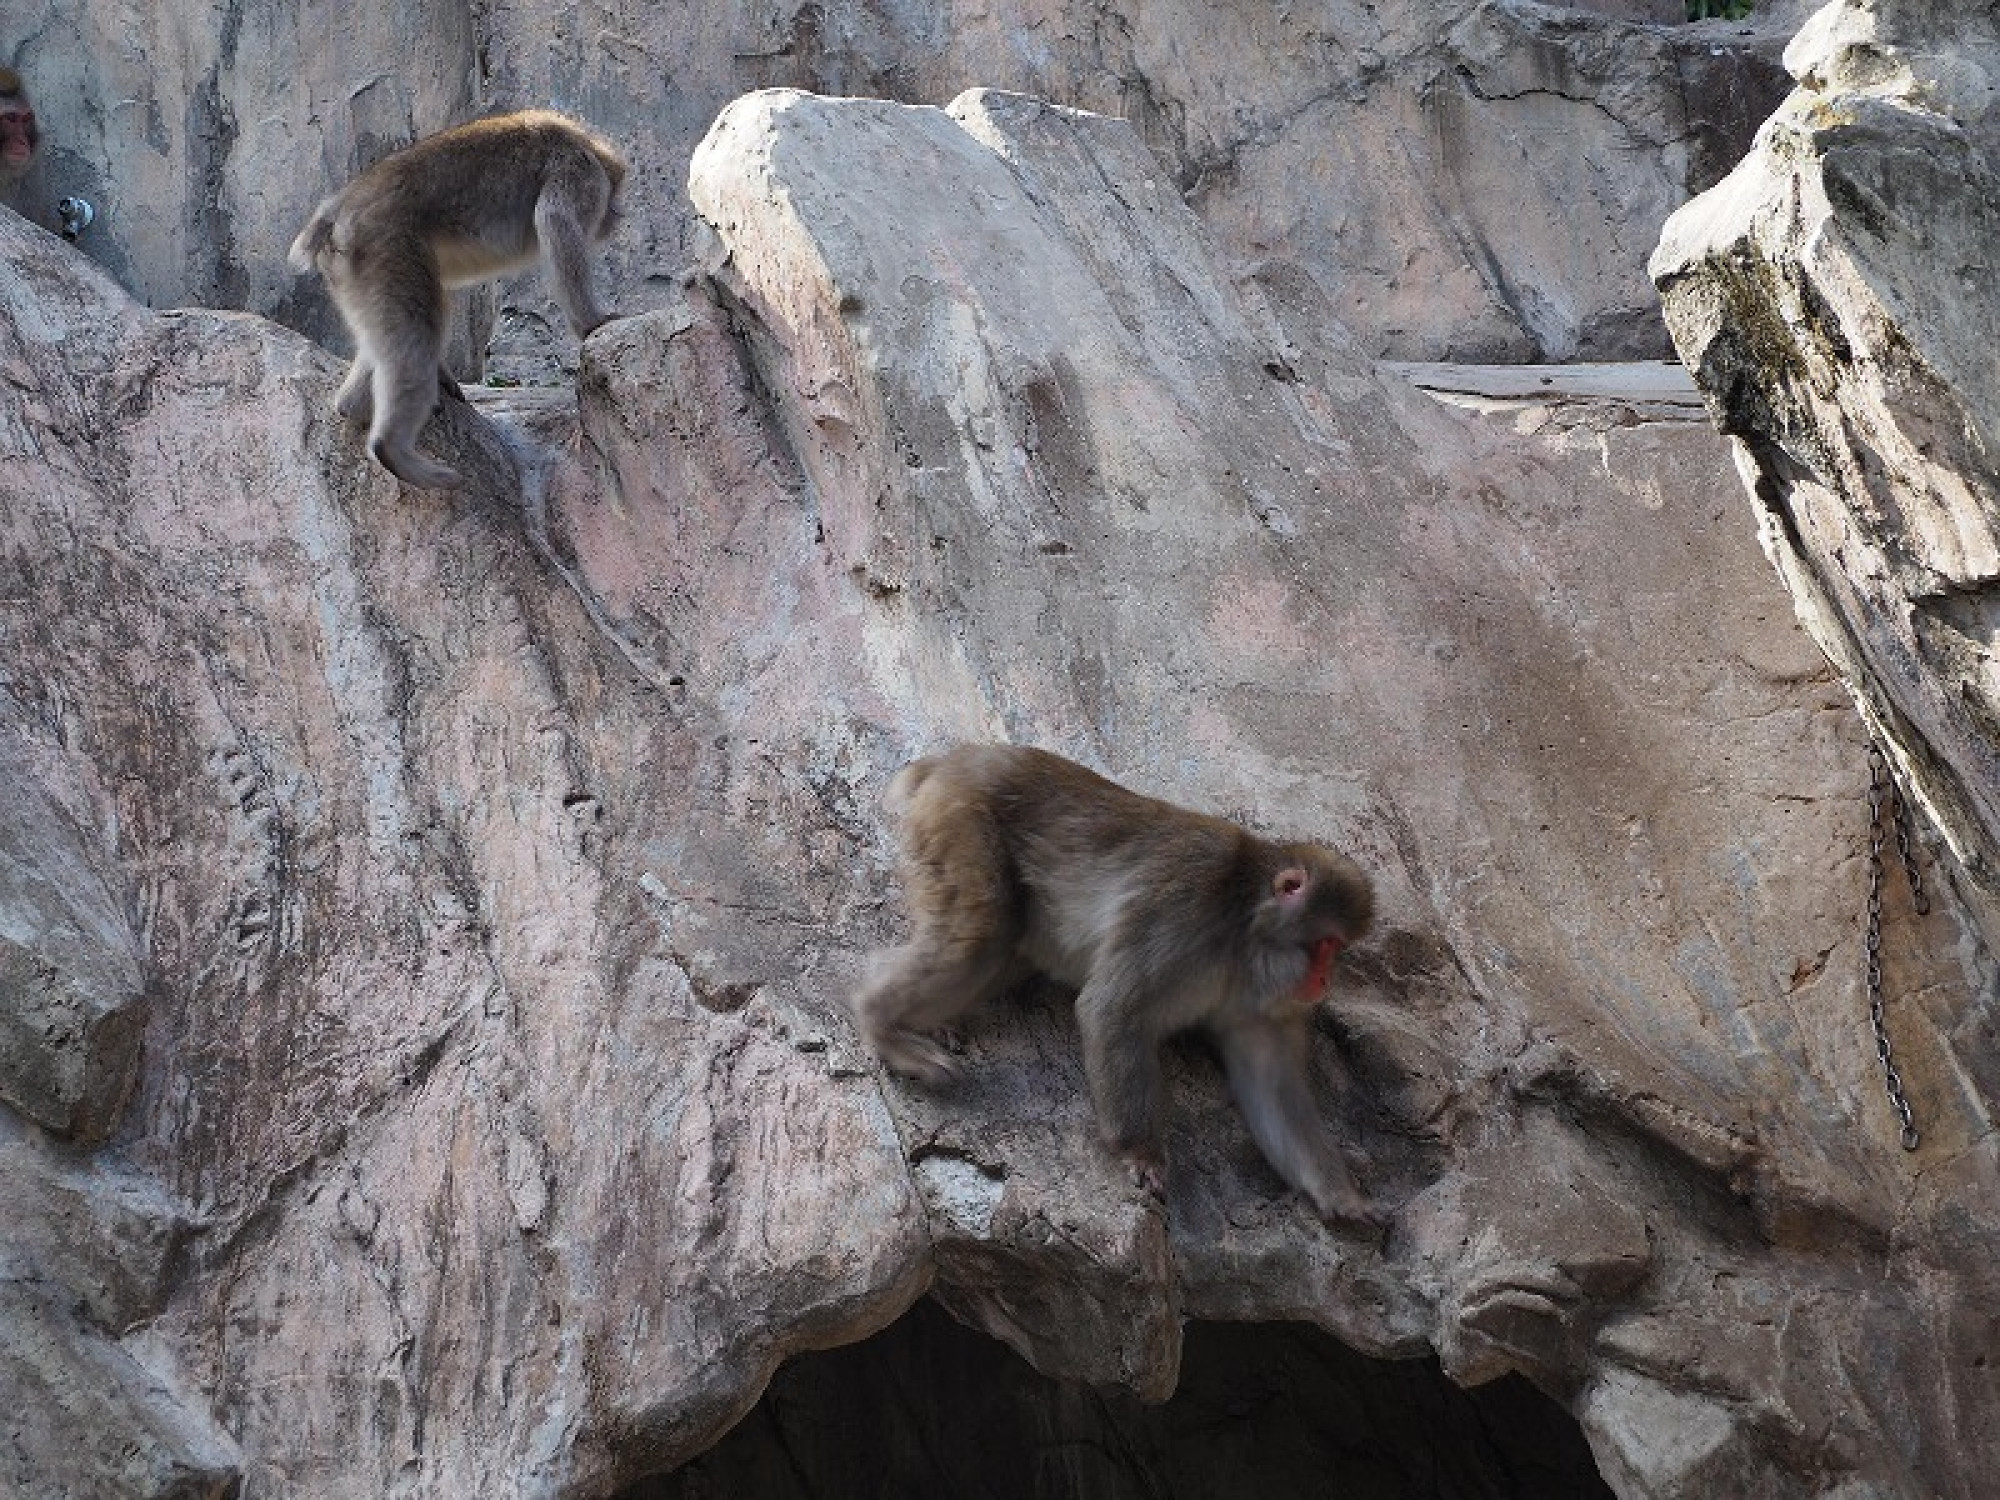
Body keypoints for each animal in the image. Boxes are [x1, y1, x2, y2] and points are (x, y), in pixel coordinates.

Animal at [288, 113, 624, 500]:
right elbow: (555, 222)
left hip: (355, 271)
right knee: (416, 334)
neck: (585, 143)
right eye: (616, 193)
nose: (617, 215)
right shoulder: (578, 172)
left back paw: (353, 405)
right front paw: (592, 322)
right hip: (383, 249)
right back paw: (396, 451)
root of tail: (337, 211)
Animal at [852, 744, 1384, 1232]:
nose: (1324, 980)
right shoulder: (1183, 914)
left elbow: (1272, 1079)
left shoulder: (1263, 1005)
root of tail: (953, 759)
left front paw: (1341, 1195)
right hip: (960, 818)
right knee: (983, 936)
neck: (1242, 928)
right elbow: (1112, 1011)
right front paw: (1141, 1151)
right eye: (1326, 945)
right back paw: (882, 1023)